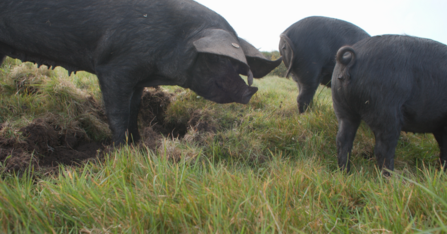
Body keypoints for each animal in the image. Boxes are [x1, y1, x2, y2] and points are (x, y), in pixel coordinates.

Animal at [0, 0, 282, 144]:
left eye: (236, 64)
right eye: (217, 58)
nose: (250, 91)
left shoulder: (138, 79)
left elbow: (134, 109)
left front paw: (138, 143)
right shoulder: (114, 67)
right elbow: (117, 113)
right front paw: (120, 149)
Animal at [330, 34, 447, 174]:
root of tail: (349, 59)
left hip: (342, 106)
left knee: (343, 139)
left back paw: (345, 172)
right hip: (385, 109)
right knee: (383, 149)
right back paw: (392, 177)